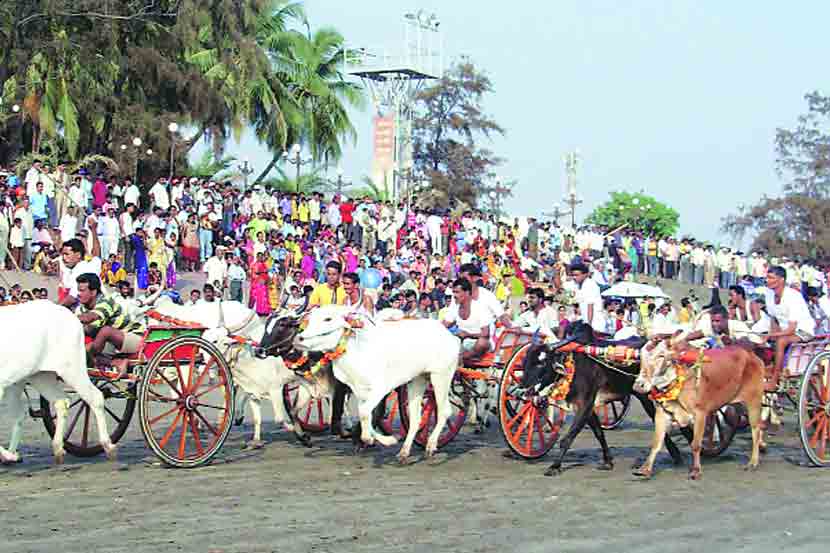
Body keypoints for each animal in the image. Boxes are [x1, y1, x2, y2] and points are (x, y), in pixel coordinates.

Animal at [524, 322, 692, 476]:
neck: (574, 366)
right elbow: (599, 433)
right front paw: (607, 461)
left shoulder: (585, 404)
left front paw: (555, 466)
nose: (525, 390)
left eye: (542, 363)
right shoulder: (588, 408)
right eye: (525, 361)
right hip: (642, 394)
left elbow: (567, 438)